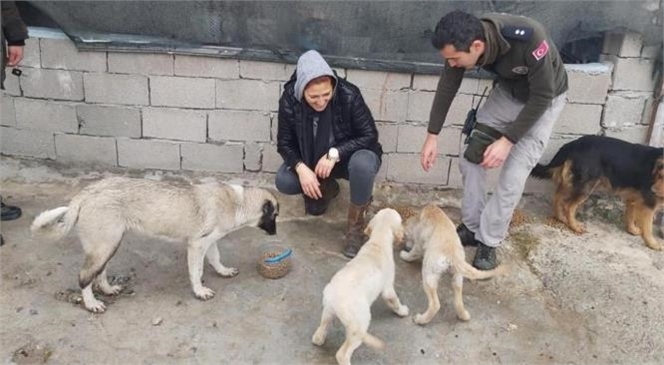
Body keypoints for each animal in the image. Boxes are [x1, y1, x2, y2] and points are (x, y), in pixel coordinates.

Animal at [30, 175, 278, 312]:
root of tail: (87, 192)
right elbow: (196, 272)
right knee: (84, 277)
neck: (237, 202)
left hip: (108, 244)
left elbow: (216, 259)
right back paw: (91, 304)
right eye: (274, 215)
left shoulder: (209, 242)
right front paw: (199, 291)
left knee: (99, 272)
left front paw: (224, 271)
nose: (275, 233)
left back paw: (108, 289)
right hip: (104, 246)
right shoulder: (196, 246)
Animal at [312, 208, 410, 364]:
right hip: (360, 324)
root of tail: (337, 302)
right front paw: (403, 311)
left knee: (320, 332)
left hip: (327, 311)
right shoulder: (388, 288)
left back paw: (319, 338)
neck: (378, 241)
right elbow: (394, 301)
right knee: (342, 354)